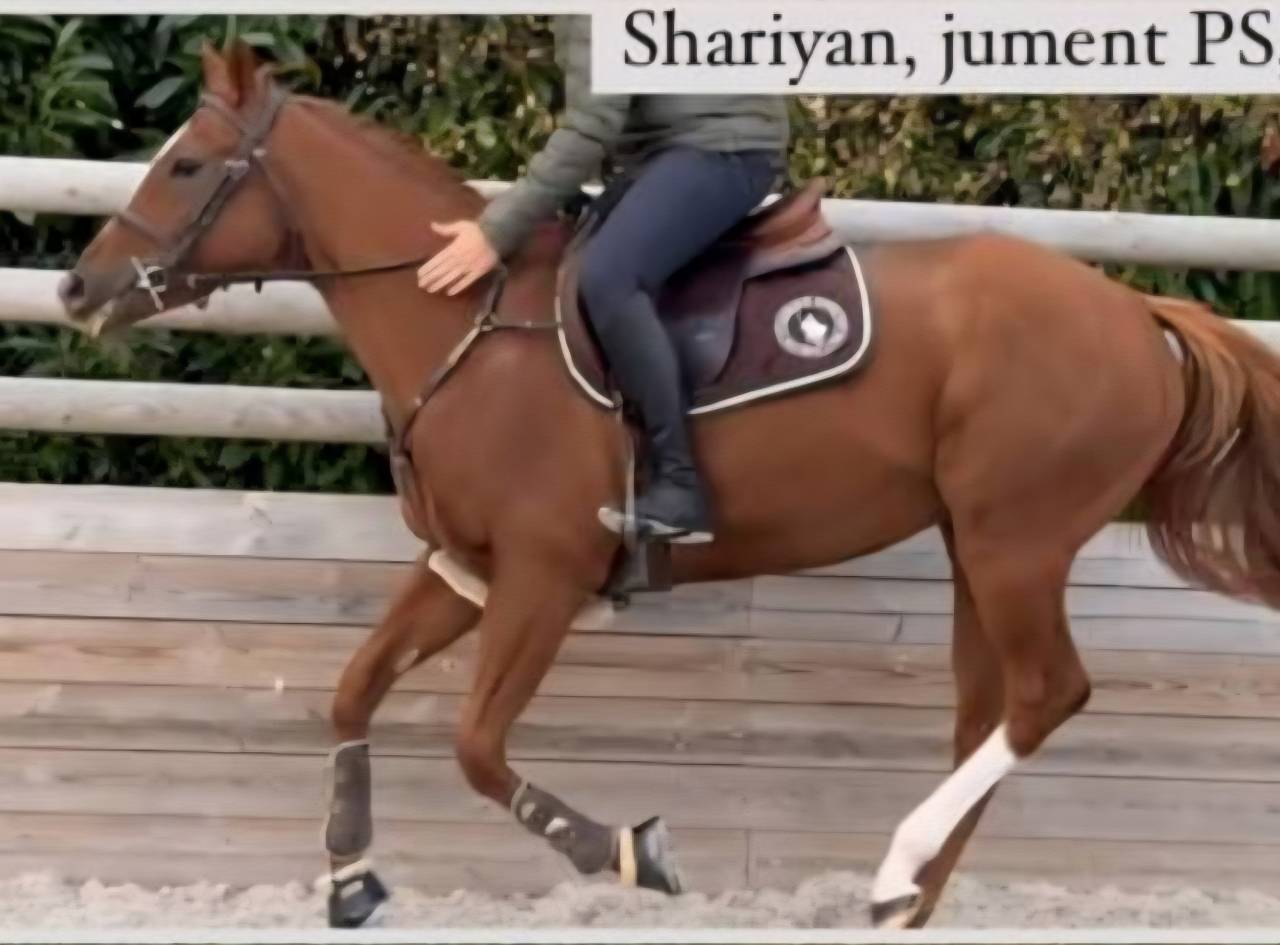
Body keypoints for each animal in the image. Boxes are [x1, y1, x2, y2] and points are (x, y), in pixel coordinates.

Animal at [58, 41, 1280, 929]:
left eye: (185, 165)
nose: (78, 287)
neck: (467, 325)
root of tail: (1135, 311)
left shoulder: (543, 581)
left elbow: (477, 749)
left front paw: (633, 853)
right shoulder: (462, 571)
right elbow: (353, 694)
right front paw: (350, 878)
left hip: (1012, 542)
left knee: (1042, 695)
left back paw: (896, 865)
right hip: (978, 550)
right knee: (991, 712)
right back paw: (901, 896)